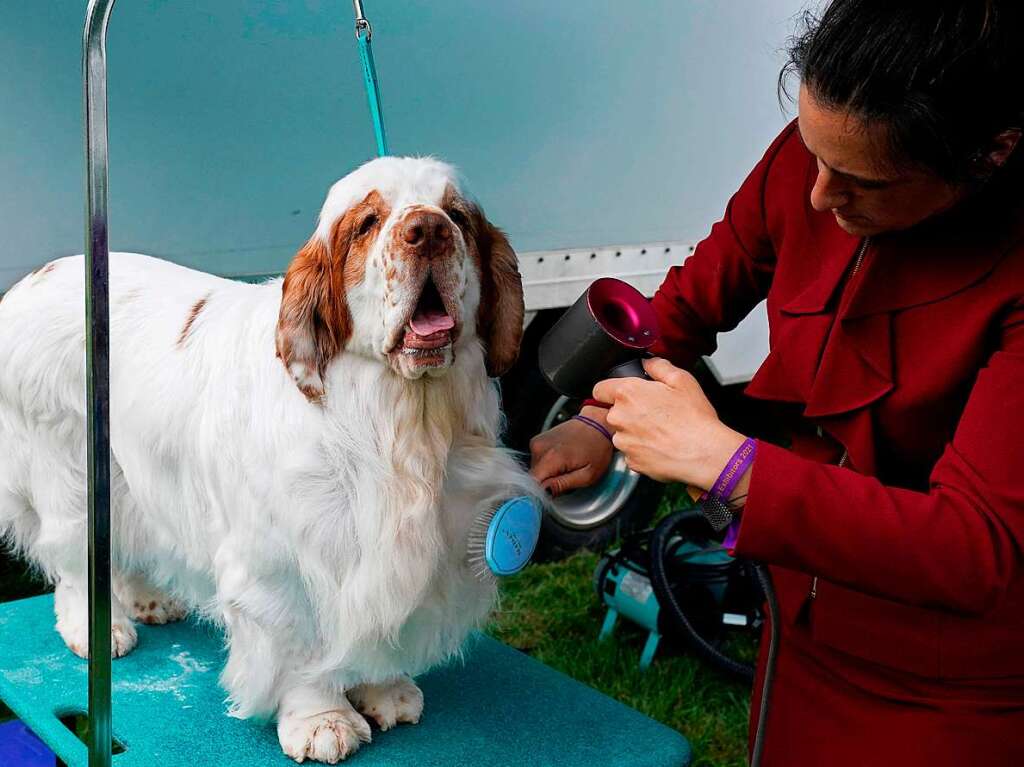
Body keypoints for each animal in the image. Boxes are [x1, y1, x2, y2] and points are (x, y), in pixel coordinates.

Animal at [0, 158, 540, 761]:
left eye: (458, 216)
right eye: (368, 223)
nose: (428, 231)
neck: (398, 417)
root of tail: (32, 279)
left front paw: (385, 689)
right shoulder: (284, 561)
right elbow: (299, 648)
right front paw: (321, 721)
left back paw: (149, 600)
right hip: (70, 470)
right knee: (75, 562)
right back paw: (97, 630)